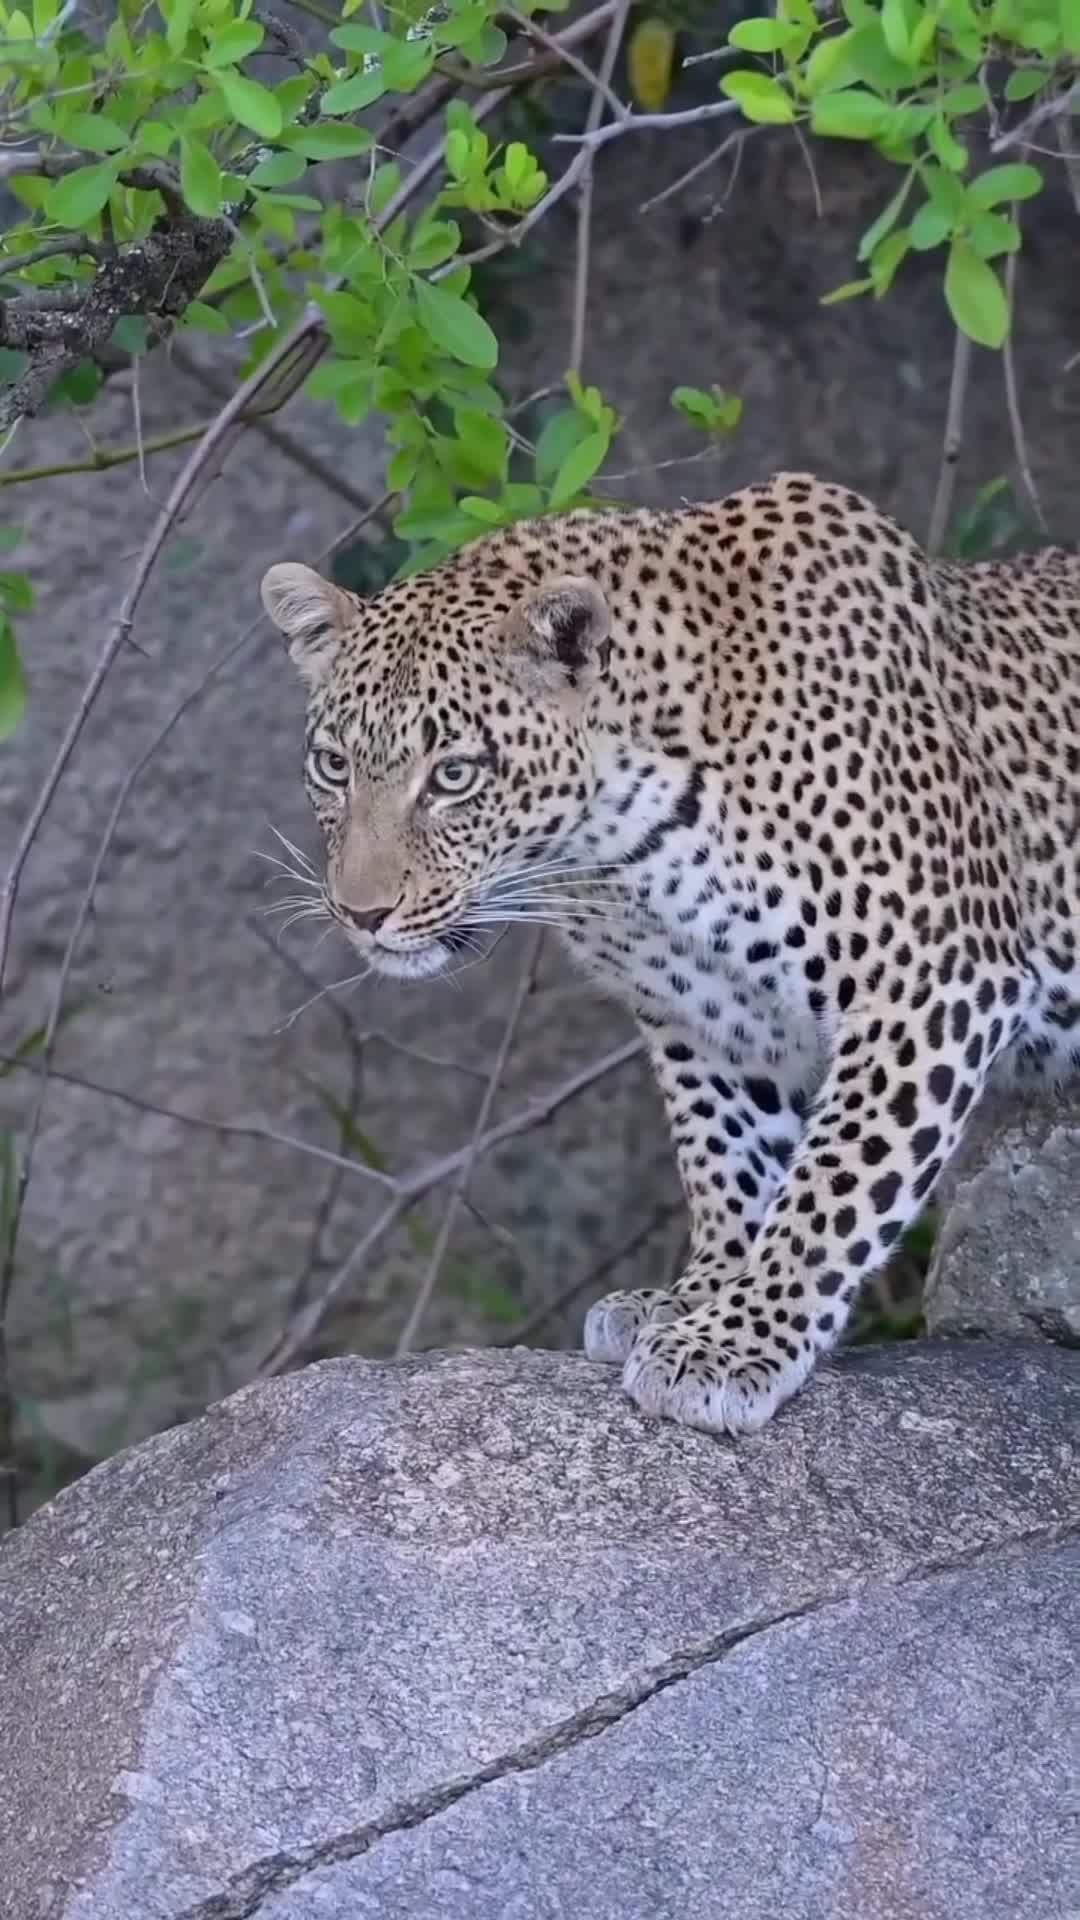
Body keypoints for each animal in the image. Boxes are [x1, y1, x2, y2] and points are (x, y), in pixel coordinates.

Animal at [261, 470, 1080, 1438]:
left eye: (455, 775)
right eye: (334, 765)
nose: (362, 913)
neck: (619, 845)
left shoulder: (930, 978)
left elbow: (835, 1181)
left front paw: (738, 1338)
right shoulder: (707, 1013)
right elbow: (726, 1157)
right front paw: (699, 1295)